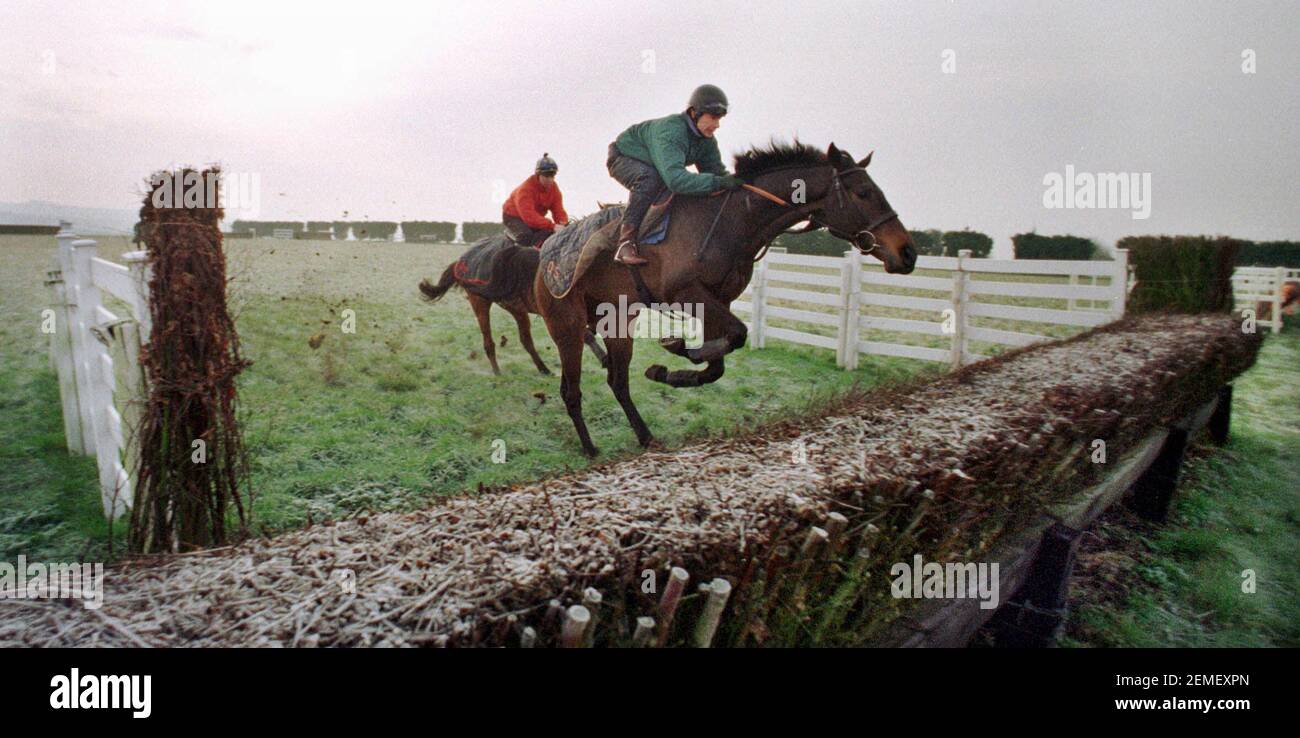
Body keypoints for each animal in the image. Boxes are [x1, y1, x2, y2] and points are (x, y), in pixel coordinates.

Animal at [423, 237, 611, 374]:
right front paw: (604, 359)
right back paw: (498, 372)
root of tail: (461, 261)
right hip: (480, 302)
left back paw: (543, 369)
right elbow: (586, 335)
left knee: (525, 340)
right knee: (489, 341)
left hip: (516, 308)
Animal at [533, 139, 920, 454]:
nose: (908, 252)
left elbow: (720, 360)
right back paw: (589, 447)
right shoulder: (685, 293)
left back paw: (645, 436)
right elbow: (736, 335)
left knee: (617, 381)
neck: (734, 219)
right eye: (863, 192)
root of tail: (543, 254)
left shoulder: (718, 300)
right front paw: (679, 349)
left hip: (617, 320)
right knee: (571, 389)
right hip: (567, 325)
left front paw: (671, 368)